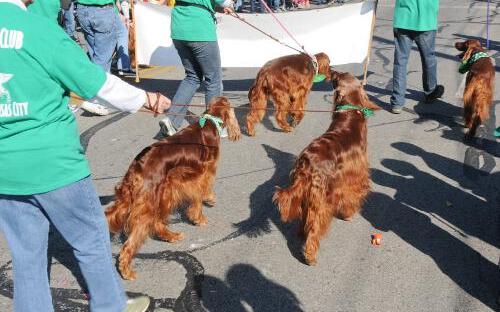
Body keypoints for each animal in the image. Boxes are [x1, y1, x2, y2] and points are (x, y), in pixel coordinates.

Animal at [107, 96, 242, 280]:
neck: (209, 122)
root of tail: (137, 165)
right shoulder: (202, 175)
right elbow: (200, 197)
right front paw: (202, 214)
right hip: (151, 201)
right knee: (133, 241)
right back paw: (126, 270)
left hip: (157, 196)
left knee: (154, 223)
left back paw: (171, 236)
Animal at [274, 71, 378, 266]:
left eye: (339, 76)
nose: (332, 70)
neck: (349, 114)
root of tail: (306, 163)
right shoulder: (355, 175)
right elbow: (352, 195)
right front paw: (348, 214)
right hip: (320, 200)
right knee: (314, 227)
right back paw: (310, 255)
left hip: (308, 195)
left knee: (305, 219)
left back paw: (302, 234)